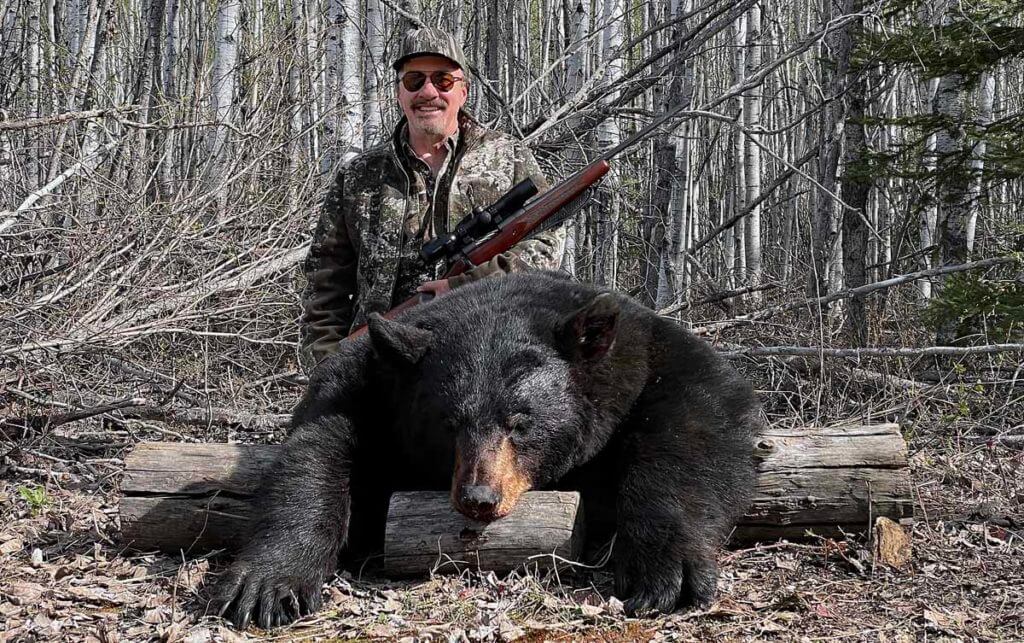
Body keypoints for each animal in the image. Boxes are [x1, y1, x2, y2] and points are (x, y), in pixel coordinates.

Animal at [211, 271, 761, 629]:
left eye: (519, 422)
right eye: (449, 423)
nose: (479, 498)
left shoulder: (650, 357)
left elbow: (696, 426)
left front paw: (666, 573)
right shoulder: (368, 382)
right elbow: (315, 451)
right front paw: (270, 584)